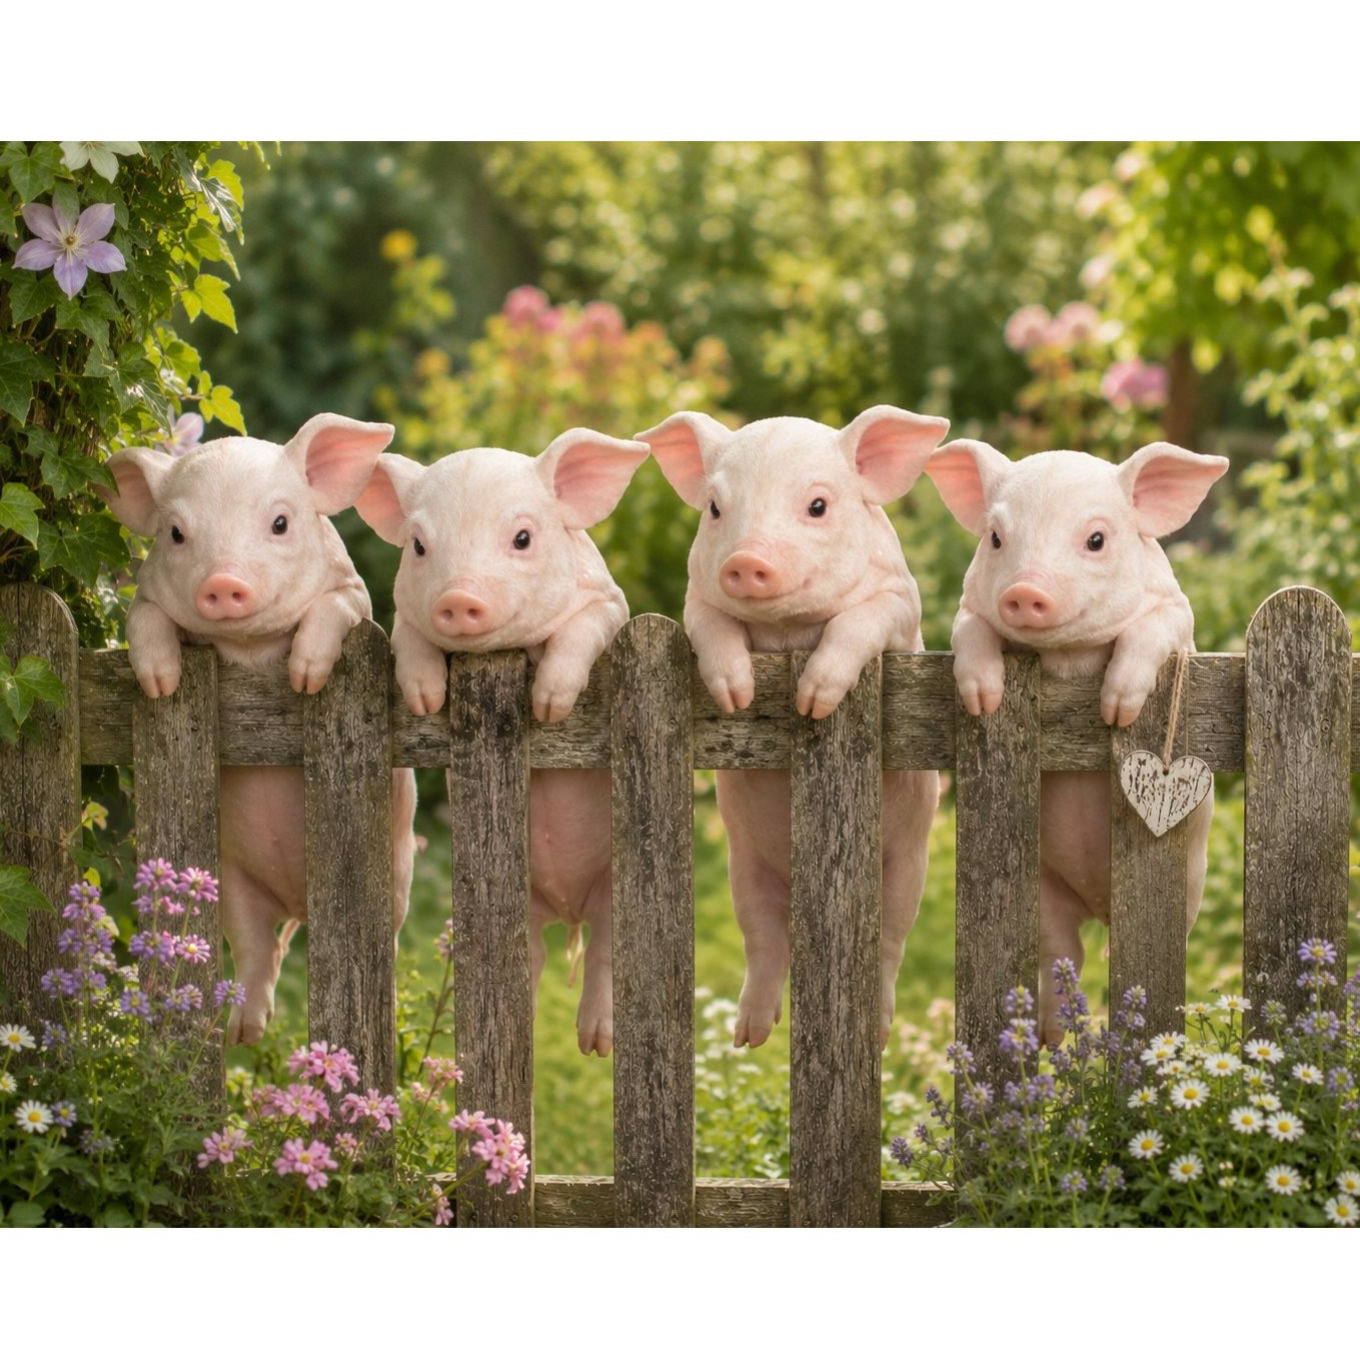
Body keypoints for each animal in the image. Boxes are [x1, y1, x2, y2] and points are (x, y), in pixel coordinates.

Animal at [100, 413, 418, 1046]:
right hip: (231, 882)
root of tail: (299, 903)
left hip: (397, 873)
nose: (224, 581)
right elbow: (142, 619)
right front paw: (161, 686)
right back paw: (241, 1035)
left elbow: (333, 611)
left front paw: (304, 679)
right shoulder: (145, 598)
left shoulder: (354, 596)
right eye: (176, 533)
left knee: (387, 939)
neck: (247, 650)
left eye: (280, 523)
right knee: (257, 949)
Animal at [354, 428, 649, 1057]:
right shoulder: (403, 618)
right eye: (418, 545)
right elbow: (409, 639)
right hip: (525, 903)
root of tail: (569, 907)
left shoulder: (609, 606)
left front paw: (549, 706)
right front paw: (425, 699)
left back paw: (596, 1044)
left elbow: (580, 632)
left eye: (523, 537)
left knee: (607, 951)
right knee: (531, 959)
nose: (458, 597)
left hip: (616, 891)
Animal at [639, 406, 949, 1049]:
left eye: (818, 506)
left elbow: (858, 622)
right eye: (715, 508)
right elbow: (711, 627)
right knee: (764, 943)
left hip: (907, 870)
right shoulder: (695, 601)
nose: (745, 558)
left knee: (888, 947)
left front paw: (813, 704)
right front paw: (737, 697)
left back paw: (877, 1032)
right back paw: (749, 1037)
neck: (787, 633)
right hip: (744, 871)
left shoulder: (900, 607)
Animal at [925, 439, 1229, 1044]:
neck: (1066, 659)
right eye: (996, 538)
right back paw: (1049, 1037)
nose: (1025, 590)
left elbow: (1149, 633)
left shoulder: (1178, 617)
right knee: (1064, 953)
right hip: (1044, 891)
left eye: (1096, 539)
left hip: (1189, 885)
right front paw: (983, 701)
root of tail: (1096, 902)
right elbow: (969, 631)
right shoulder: (968, 610)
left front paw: (1117, 710)